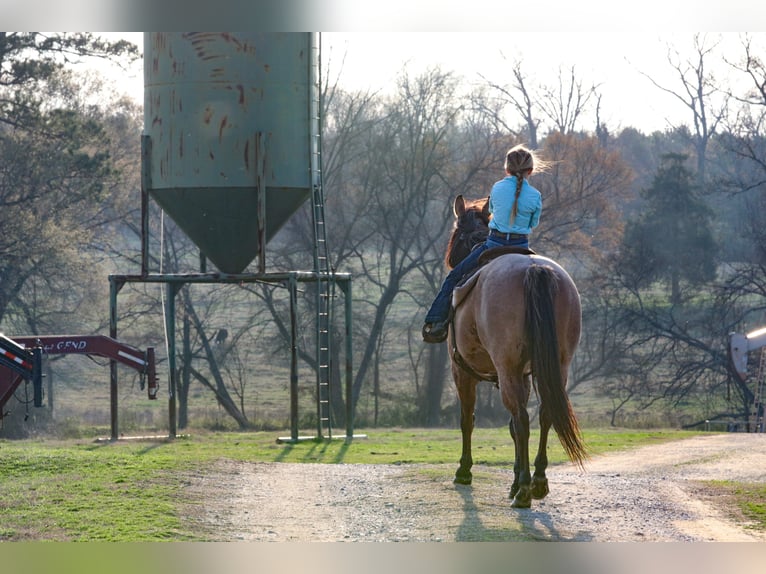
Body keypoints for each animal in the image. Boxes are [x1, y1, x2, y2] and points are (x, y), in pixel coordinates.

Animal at [444, 196, 588, 510]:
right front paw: (513, 479)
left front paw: (464, 471)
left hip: (506, 367)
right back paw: (538, 482)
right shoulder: (522, 374)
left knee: (522, 419)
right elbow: (510, 427)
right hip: (557, 366)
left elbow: (467, 420)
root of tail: (534, 269)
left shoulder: (462, 372)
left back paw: (524, 490)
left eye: (457, 234)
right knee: (544, 414)